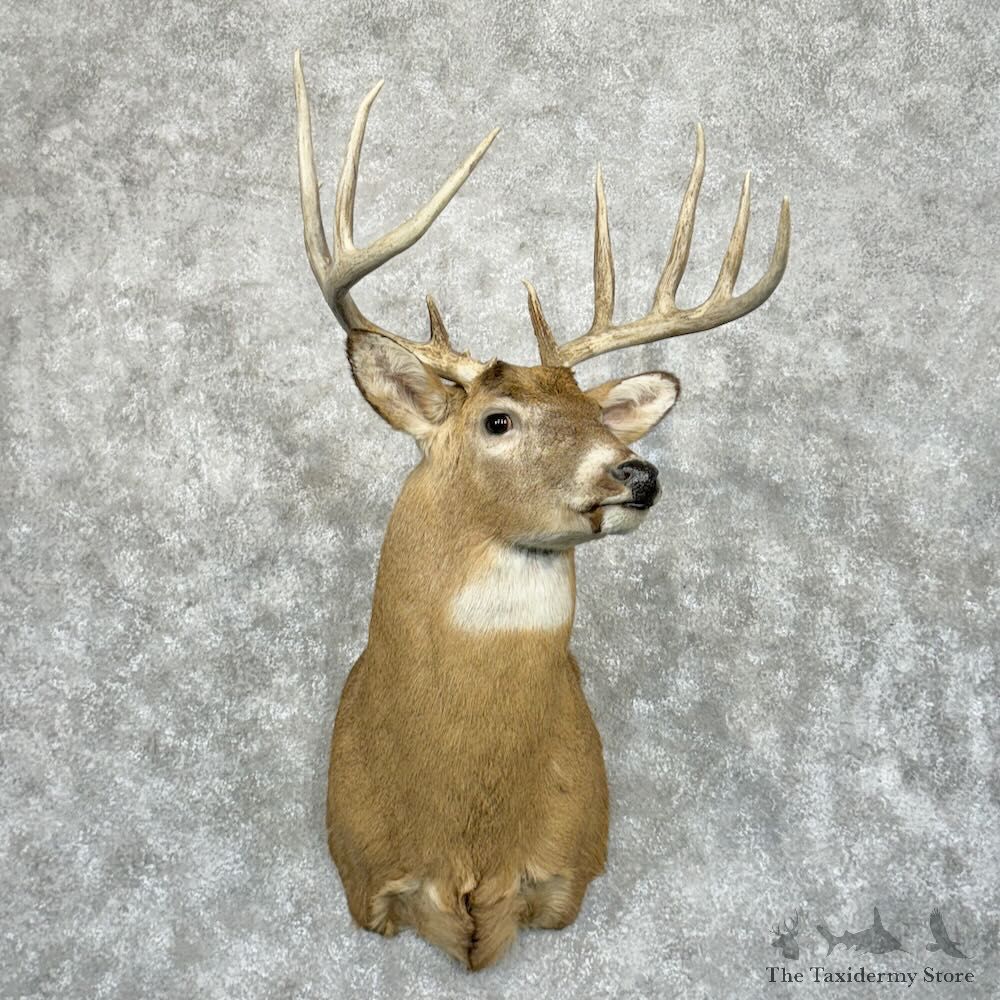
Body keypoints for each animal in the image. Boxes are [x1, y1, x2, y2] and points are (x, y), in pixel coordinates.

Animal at [292, 50, 790, 971]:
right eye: (497, 420)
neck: (466, 840)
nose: (637, 472)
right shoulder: (364, 879)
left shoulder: (572, 867)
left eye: (600, 415)